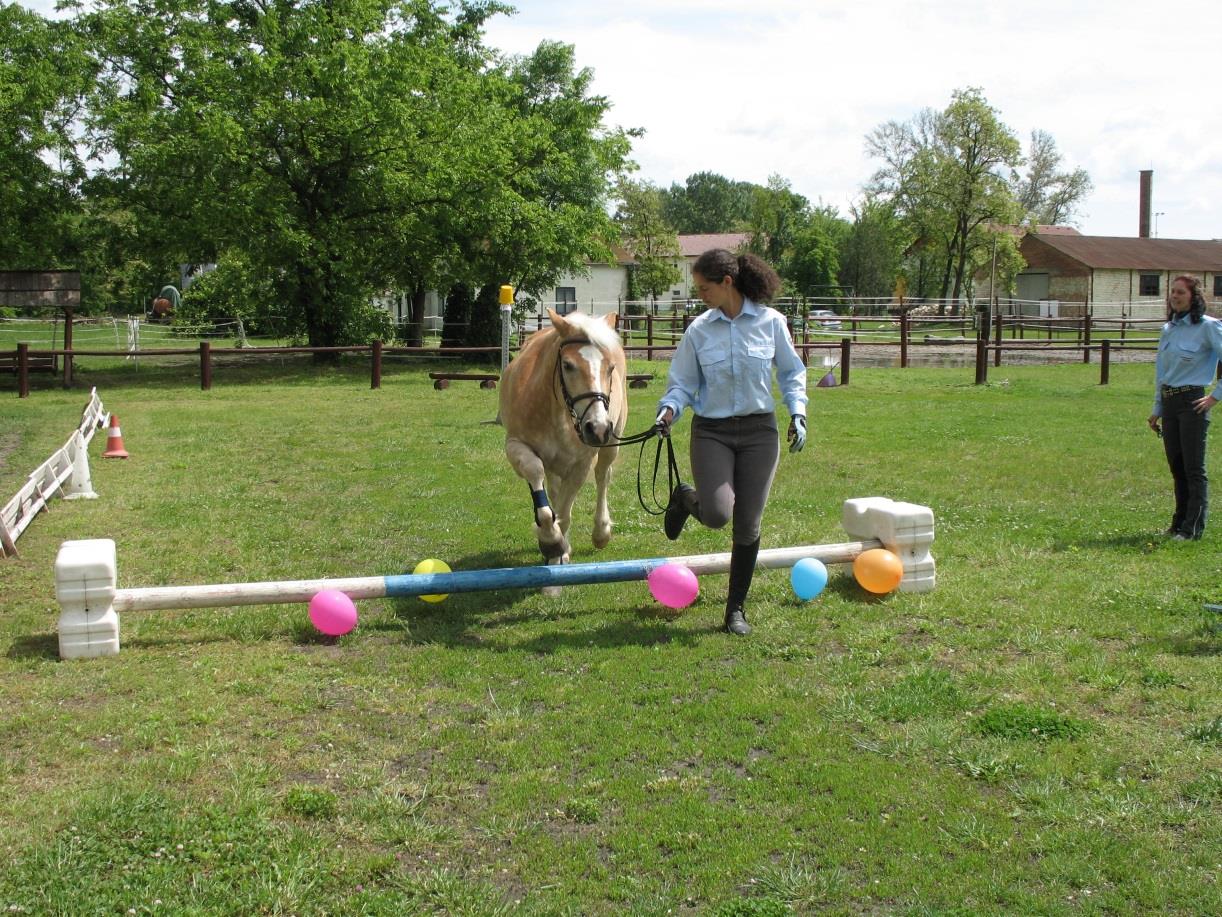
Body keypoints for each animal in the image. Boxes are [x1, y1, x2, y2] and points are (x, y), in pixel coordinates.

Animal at [498, 310, 630, 574]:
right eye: (568, 365)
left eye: (610, 367)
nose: (598, 428)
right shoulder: (516, 446)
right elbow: (537, 477)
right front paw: (552, 541)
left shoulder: (581, 463)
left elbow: (565, 511)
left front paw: (557, 546)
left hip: (611, 443)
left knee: (603, 476)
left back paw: (601, 532)